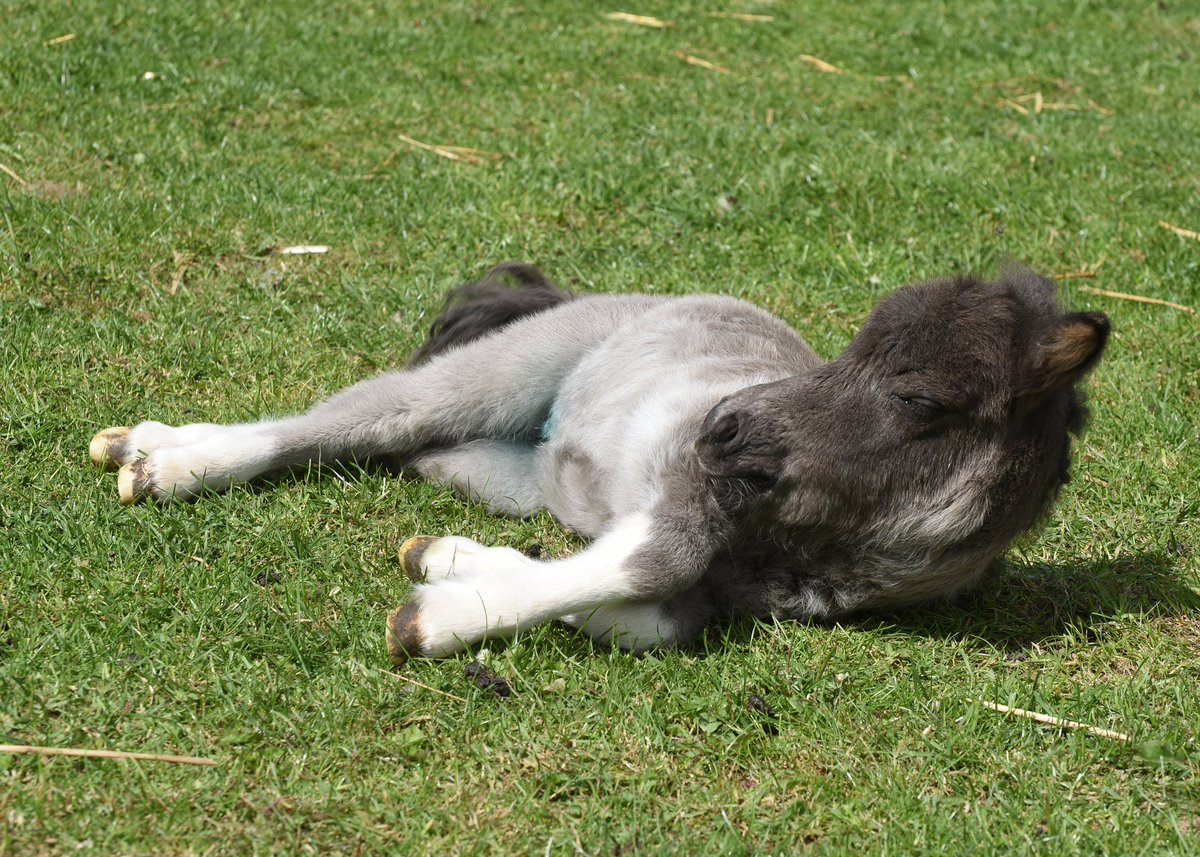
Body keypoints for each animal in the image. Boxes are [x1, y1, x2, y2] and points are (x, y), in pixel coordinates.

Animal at [88, 263, 1109, 664]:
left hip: (498, 469)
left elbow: (650, 616)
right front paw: (434, 621)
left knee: (412, 449)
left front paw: (452, 568)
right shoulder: (685, 493)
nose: (724, 427)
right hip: (492, 378)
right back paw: (162, 458)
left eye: (919, 398)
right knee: (352, 418)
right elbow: (654, 563)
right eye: (848, 351)